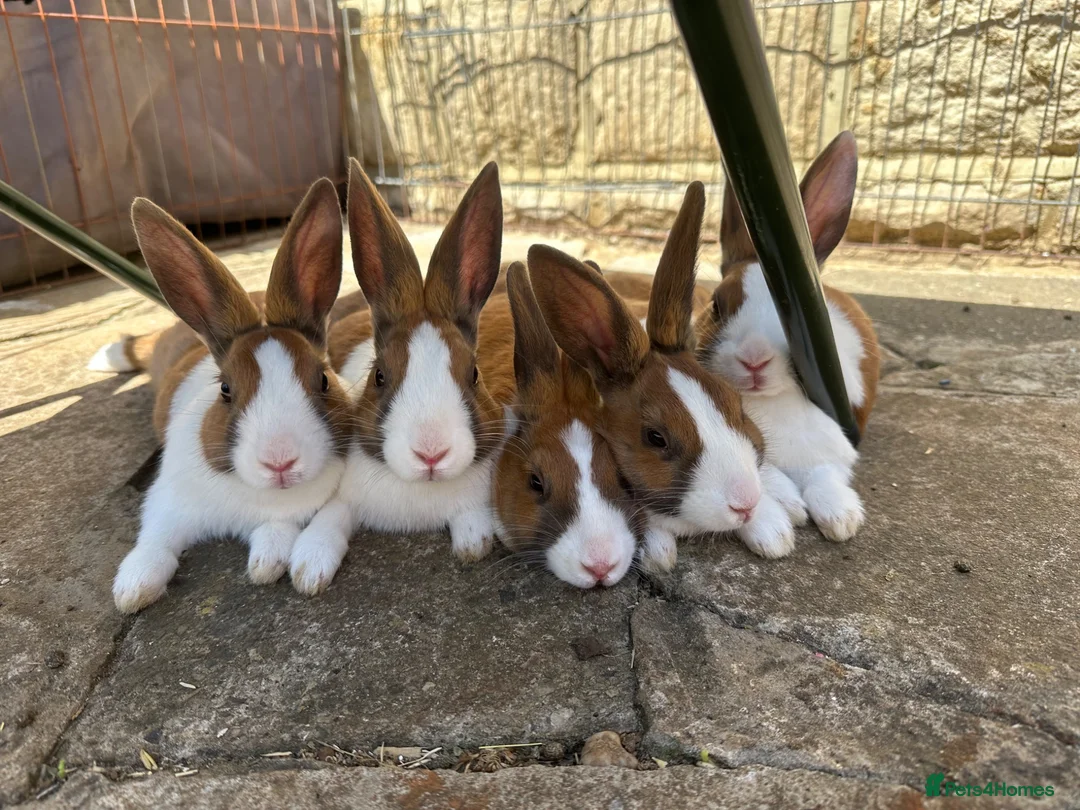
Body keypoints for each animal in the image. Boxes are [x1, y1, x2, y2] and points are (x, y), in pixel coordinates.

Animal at [102, 178, 353, 613]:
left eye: (323, 379)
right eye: (225, 389)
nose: (279, 461)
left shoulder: (287, 516)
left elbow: (275, 536)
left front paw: (265, 566)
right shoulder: (165, 502)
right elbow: (154, 544)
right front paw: (132, 592)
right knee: (142, 345)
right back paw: (109, 355)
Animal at [287, 159, 510, 595]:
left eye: (474, 373)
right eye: (379, 376)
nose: (431, 454)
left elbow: (471, 524)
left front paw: (473, 542)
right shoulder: (344, 496)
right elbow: (330, 518)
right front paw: (307, 570)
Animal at [695, 131, 880, 542]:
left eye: (793, 315)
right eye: (716, 305)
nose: (754, 359)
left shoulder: (830, 449)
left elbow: (825, 477)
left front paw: (841, 519)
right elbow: (761, 483)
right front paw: (781, 525)